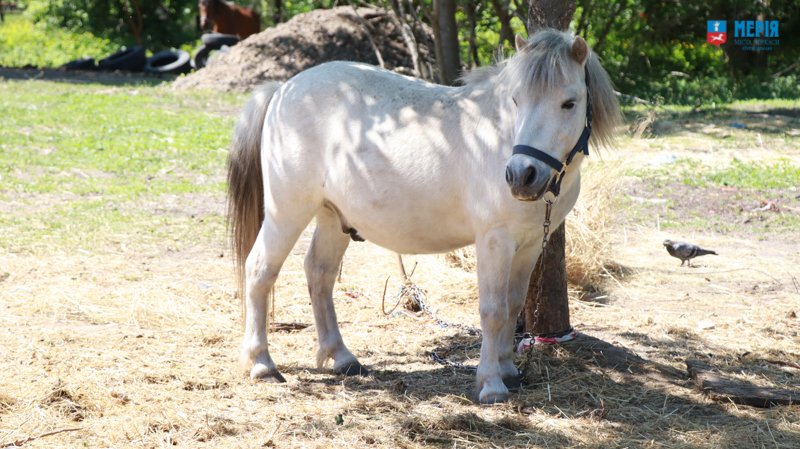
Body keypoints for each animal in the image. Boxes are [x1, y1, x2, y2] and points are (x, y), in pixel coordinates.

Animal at [227, 29, 621, 404]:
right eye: (516, 100)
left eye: (569, 102)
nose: (521, 175)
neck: (500, 136)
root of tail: (283, 90)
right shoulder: (494, 242)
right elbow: (493, 310)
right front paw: (491, 384)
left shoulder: (528, 246)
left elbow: (512, 306)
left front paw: (509, 371)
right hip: (287, 212)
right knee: (260, 270)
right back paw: (262, 363)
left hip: (331, 217)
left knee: (319, 273)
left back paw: (342, 357)